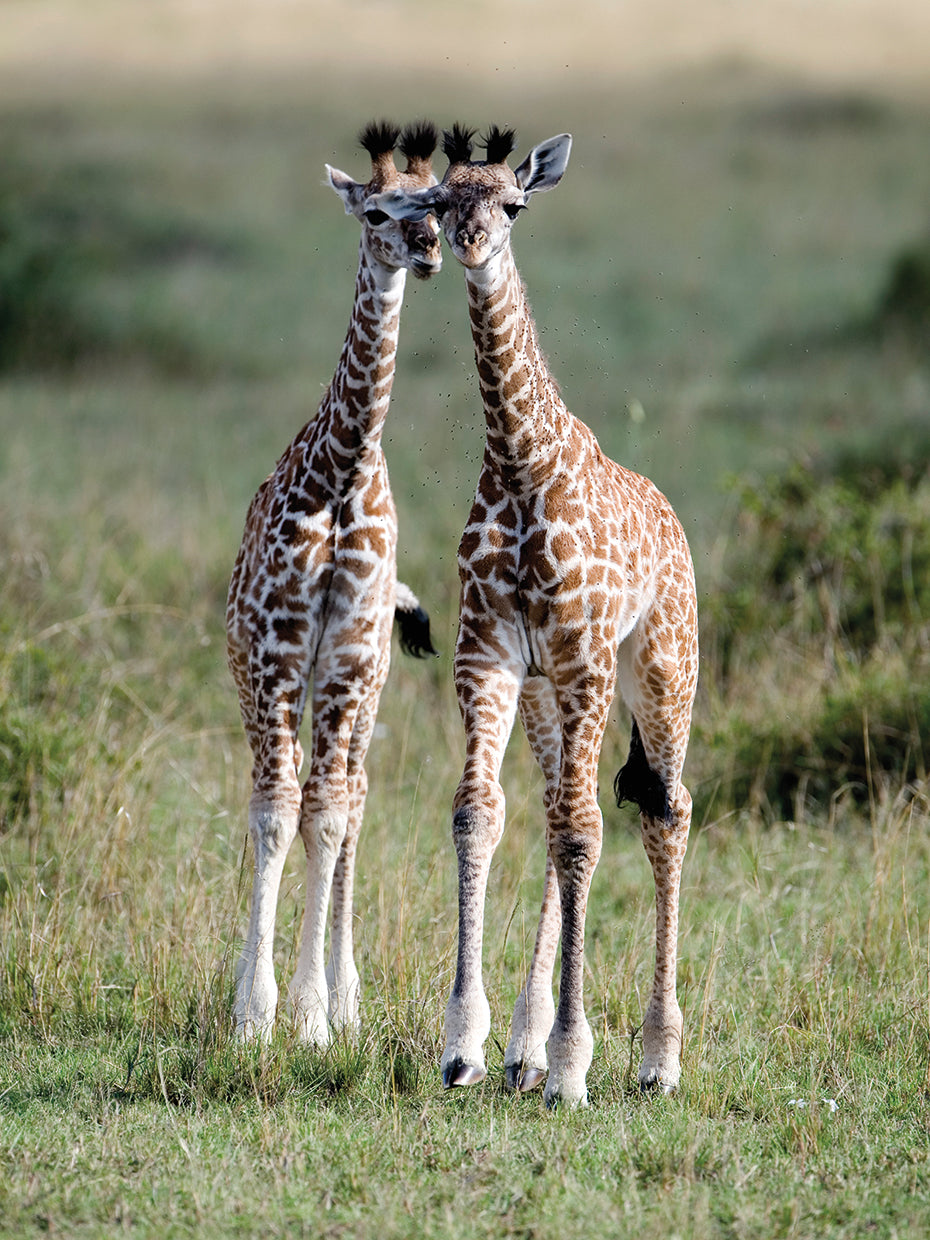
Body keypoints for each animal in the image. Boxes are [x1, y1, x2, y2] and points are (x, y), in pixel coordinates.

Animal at [374, 125, 699, 1106]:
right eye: (442, 200)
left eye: (514, 204)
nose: (471, 242)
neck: (521, 464)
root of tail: (676, 525)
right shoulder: (487, 654)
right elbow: (480, 815)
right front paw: (468, 1045)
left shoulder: (586, 656)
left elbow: (583, 834)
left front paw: (573, 1064)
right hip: (553, 695)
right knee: (567, 810)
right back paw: (526, 1047)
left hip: (661, 670)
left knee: (665, 812)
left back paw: (656, 1059)